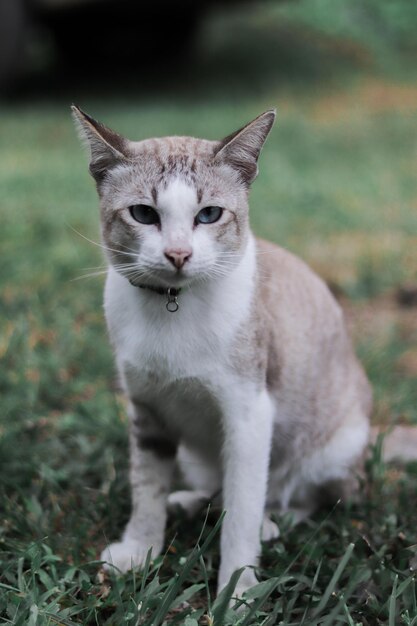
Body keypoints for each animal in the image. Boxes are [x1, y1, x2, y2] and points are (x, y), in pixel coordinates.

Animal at [72, 106, 416, 596]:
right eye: (143, 214)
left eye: (209, 215)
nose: (178, 254)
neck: (172, 307)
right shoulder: (146, 408)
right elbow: (146, 486)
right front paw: (140, 548)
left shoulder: (249, 412)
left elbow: (242, 510)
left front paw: (236, 593)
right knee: (216, 486)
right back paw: (192, 502)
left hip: (335, 445)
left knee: (311, 496)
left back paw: (274, 521)